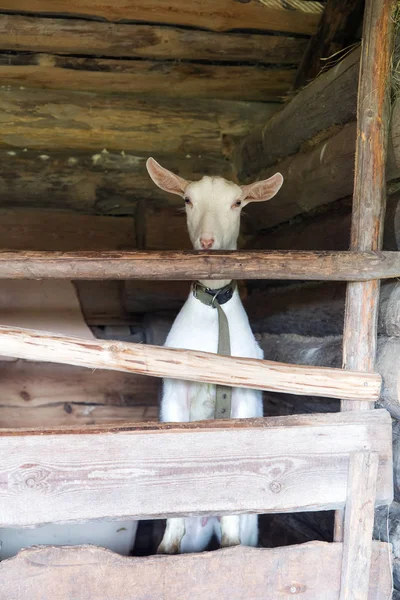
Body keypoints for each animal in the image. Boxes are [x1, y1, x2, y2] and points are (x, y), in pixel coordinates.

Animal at [145, 158, 282, 552]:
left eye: (238, 203)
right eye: (187, 200)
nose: (208, 242)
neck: (214, 309)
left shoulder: (244, 400)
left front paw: (231, 544)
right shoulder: (174, 394)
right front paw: (167, 543)